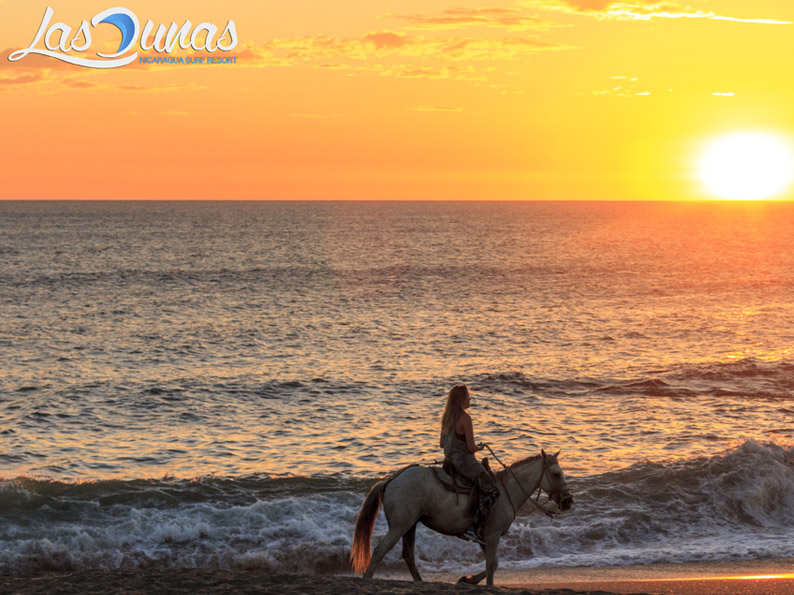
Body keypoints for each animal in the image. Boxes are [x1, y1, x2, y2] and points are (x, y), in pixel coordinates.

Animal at [350, 452, 572, 588]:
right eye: (556, 474)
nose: (569, 501)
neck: (506, 490)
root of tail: (391, 480)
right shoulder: (492, 537)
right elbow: (491, 566)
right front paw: (476, 582)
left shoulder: (485, 538)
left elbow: (494, 564)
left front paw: (466, 580)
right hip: (399, 526)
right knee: (380, 551)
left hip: (410, 525)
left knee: (408, 555)